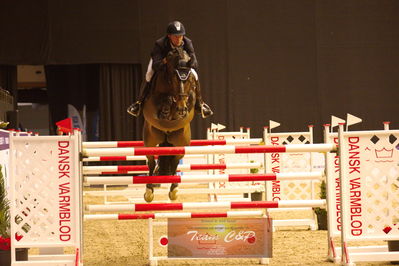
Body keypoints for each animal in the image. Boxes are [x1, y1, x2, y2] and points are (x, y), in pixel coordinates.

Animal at [143, 46, 198, 203]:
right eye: (174, 77)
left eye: (190, 79)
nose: (181, 109)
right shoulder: (153, 102)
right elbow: (165, 100)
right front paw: (168, 109)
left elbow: (190, 99)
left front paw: (180, 110)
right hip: (150, 141)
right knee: (151, 163)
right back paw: (149, 191)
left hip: (180, 143)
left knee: (174, 162)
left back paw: (174, 189)